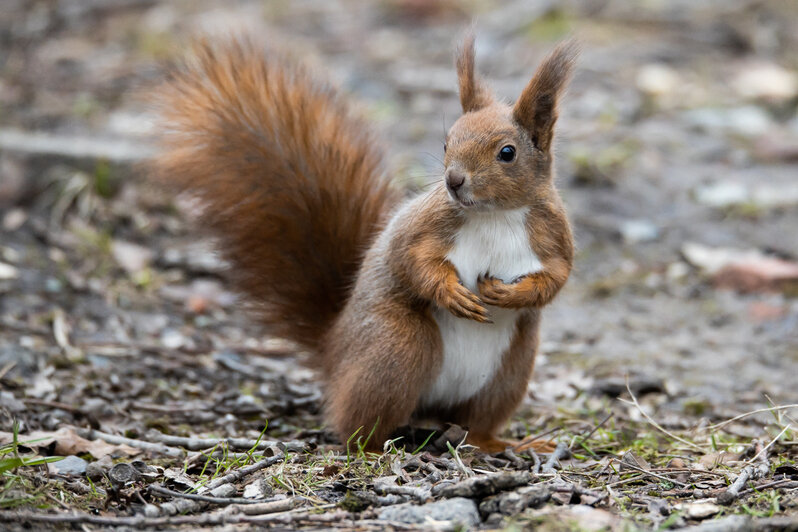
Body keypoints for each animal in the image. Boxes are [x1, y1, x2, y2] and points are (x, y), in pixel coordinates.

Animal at [152, 34, 576, 454]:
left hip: (510, 370)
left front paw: (510, 294)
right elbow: (411, 261)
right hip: (398, 347)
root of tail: (334, 350)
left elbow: (555, 280)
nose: (454, 181)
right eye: (446, 143)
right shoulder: (423, 226)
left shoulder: (554, 238)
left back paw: (504, 443)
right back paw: (371, 447)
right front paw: (451, 292)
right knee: (358, 422)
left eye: (507, 152)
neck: (494, 215)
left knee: (477, 423)